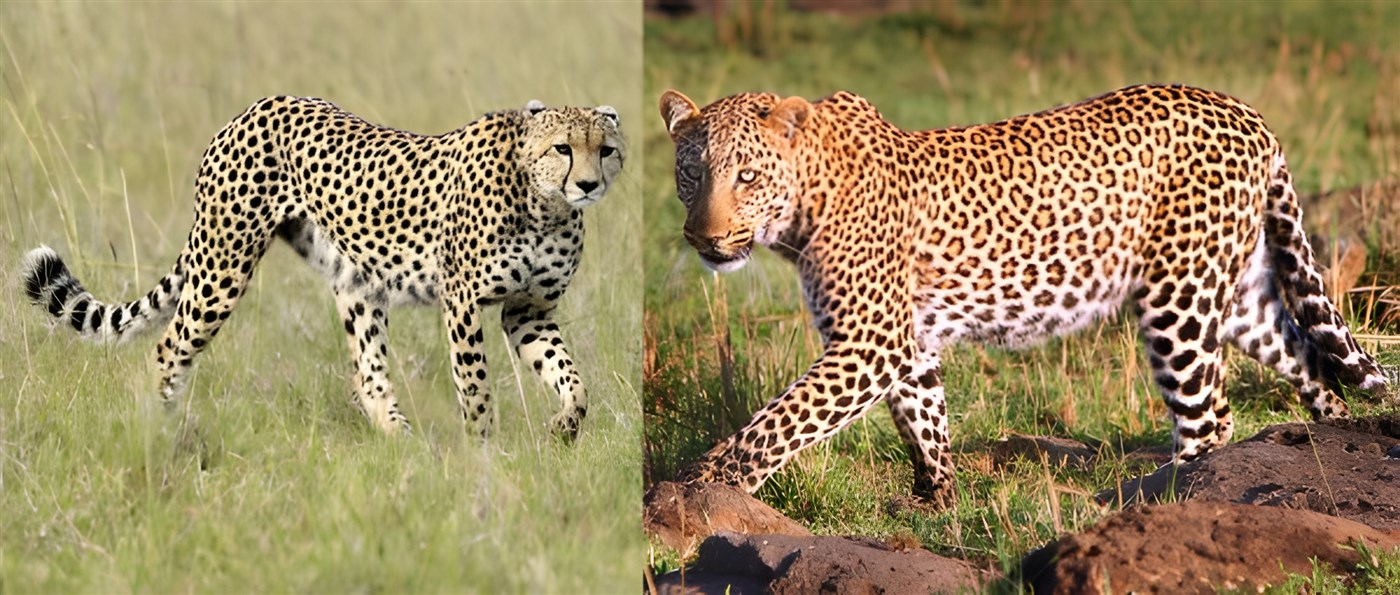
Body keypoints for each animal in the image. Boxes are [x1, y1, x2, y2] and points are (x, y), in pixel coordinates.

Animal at [21, 96, 624, 441]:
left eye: (606, 150)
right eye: (563, 149)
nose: (589, 184)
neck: (545, 205)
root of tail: (252, 108)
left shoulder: (528, 311)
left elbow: (573, 380)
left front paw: (566, 427)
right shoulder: (465, 304)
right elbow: (474, 385)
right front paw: (483, 453)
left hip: (356, 281)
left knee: (367, 372)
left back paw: (402, 440)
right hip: (222, 268)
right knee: (169, 347)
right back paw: (161, 429)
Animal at [658, 84, 1390, 507]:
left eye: (747, 176)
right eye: (691, 173)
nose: (702, 237)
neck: (806, 199)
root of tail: (1247, 112)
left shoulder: (870, 340)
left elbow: (777, 423)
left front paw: (704, 486)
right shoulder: (905, 341)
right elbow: (924, 422)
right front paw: (937, 501)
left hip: (1179, 299)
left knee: (1209, 418)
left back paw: (1159, 500)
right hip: (1232, 293)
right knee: (1307, 354)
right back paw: (1323, 441)